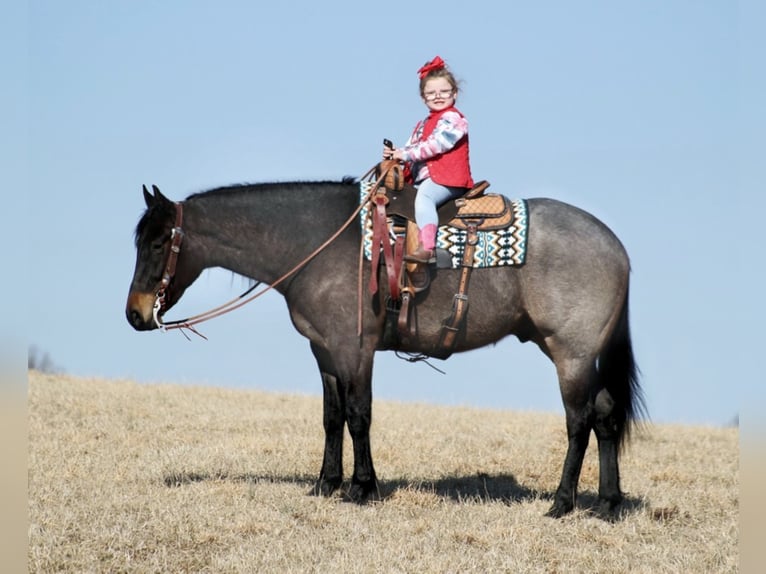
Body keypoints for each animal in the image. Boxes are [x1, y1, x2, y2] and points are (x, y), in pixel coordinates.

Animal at [127, 179, 648, 516]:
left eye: (157, 243)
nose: (134, 314)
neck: (317, 243)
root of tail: (616, 247)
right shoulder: (325, 351)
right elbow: (332, 416)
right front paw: (326, 483)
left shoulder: (355, 348)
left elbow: (359, 415)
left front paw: (362, 487)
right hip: (580, 354)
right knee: (605, 415)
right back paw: (607, 503)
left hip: (570, 354)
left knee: (579, 421)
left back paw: (561, 503)